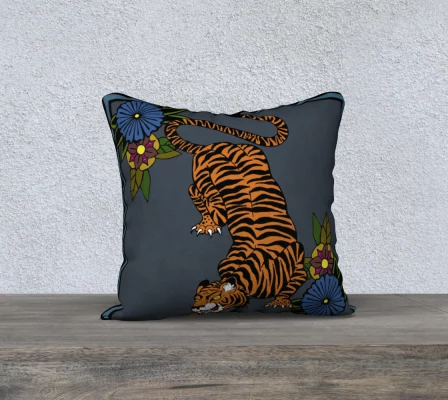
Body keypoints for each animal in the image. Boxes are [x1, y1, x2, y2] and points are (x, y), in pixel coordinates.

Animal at [165, 114, 306, 314]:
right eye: (197, 297)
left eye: (215, 297)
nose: (195, 307)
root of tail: (211, 146)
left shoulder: (298, 259)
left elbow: (291, 284)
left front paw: (281, 301)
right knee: (196, 190)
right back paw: (207, 223)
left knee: (198, 192)